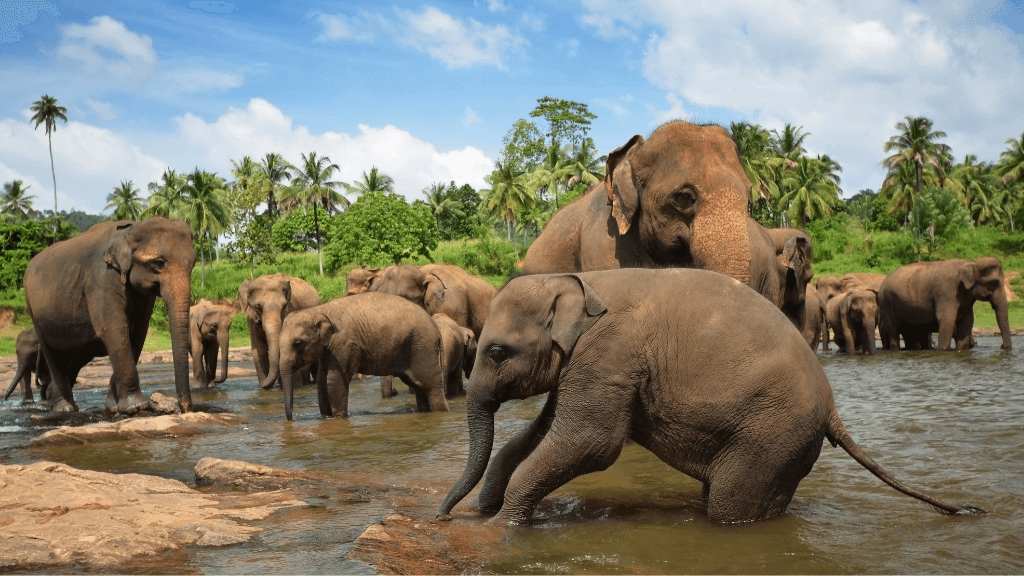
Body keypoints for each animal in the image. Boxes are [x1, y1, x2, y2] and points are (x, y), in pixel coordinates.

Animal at [23, 218, 195, 414]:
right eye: (158, 263)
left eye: (194, 263)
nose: (185, 409)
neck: (131, 230)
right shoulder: (101, 279)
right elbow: (115, 330)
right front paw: (135, 407)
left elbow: (138, 334)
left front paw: (114, 407)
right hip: (34, 313)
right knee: (53, 354)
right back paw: (65, 408)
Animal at [277, 292, 450, 420]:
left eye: (297, 343)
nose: (292, 419)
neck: (318, 310)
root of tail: (435, 326)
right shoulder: (329, 347)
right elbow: (321, 379)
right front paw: (326, 417)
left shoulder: (344, 343)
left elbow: (334, 379)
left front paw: (338, 419)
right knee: (417, 385)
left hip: (422, 346)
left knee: (430, 384)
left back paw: (440, 412)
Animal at [436, 268, 983, 526]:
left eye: (498, 352)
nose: (441, 515)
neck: (580, 280)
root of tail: (832, 410)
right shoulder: (587, 364)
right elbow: (546, 431)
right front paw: (489, 509)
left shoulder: (609, 354)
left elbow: (591, 442)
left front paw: (505, 525)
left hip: (772, 432)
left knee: (728, 505)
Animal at [878, 257, 1011, 352]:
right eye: (994, 283)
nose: (1002, 346)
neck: (970, 262)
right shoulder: (947, 292)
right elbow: (946, 319)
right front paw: (942, 351)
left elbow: (967, 321)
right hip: (886, 303)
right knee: (894, 330)